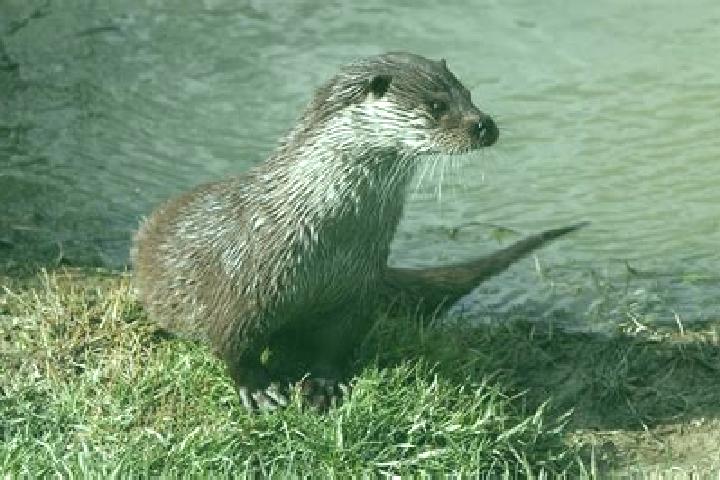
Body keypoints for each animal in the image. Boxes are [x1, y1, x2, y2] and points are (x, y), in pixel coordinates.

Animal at [133, 52, 583, 411]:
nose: (484, 124)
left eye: (469, 94)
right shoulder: (242, 287)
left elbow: (337, 343)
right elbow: (233, 345)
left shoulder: (356, 290)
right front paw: (259, 389)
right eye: (437, 105)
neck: (322, 240)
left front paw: (324, 384)